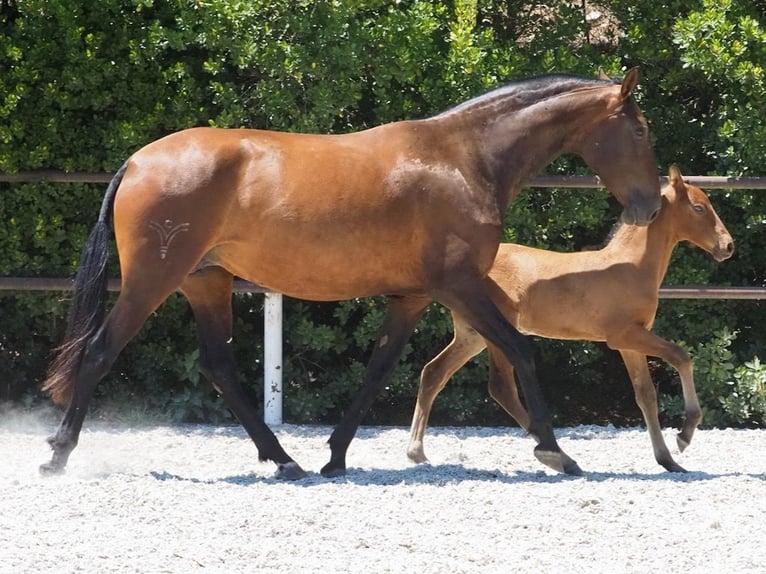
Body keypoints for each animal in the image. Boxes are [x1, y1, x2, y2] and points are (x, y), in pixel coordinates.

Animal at [40, 68, 660, 482]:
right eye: (639, 131)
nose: (650, 206)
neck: (464, 160)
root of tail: (138, 160)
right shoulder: (459, 286)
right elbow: (521, 351)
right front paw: (556, 451)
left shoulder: (413, 296)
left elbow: (379, 370)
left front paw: (335, 456)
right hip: (153, 281)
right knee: (99, 351)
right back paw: (59, 454)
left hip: (205, 283)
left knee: (219, 367)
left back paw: (285, 460)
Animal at [412, 165, 736, 472]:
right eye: (699, 207)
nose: (728, 246)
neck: (631, 266)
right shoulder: (624, 335)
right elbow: (681, 356)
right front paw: (685, 434)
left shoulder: (631, 342)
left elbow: (646, 396)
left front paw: (667, 460)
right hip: (495, 329)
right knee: (501, 387)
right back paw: (558, 457)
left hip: (472, 335)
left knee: (434, 372)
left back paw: (417, 452)